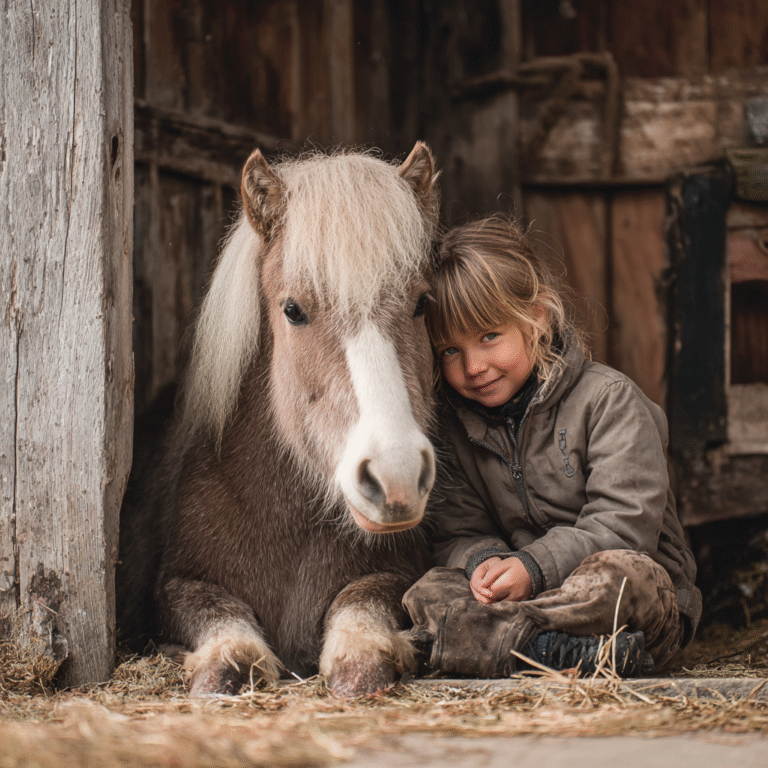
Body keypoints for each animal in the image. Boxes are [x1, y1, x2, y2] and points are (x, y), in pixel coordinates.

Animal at [117, 143, 441, 698]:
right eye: (292, 309)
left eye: (422, 302)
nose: (395, 475)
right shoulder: (180, 585)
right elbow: (223, 631)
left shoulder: (395, 572)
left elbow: (363, 612)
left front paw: (365, 653)